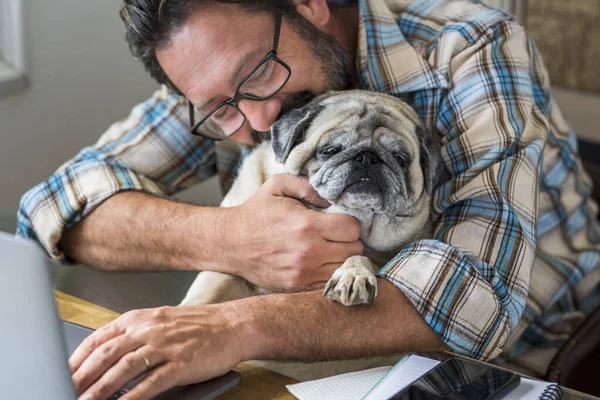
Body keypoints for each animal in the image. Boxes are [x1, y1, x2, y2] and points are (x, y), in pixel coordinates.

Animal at [180, 90, 442, 308]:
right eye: (330, 150)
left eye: (399, 158)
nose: (367, 157)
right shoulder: (222, 273)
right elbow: (203, 298)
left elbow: (361, 257)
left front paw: (354, 273)